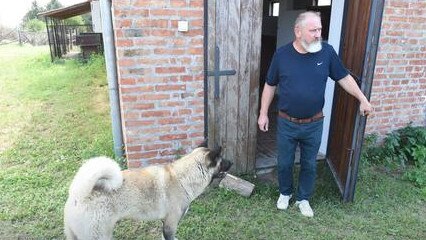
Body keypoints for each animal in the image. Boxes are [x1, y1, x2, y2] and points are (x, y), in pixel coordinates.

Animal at [63, 146, 231, 240]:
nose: (232, 162)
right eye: (222, 160)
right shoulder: (170, 225)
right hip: (100, 235)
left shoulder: (165, 225)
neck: (183, 178)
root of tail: (78, 194)